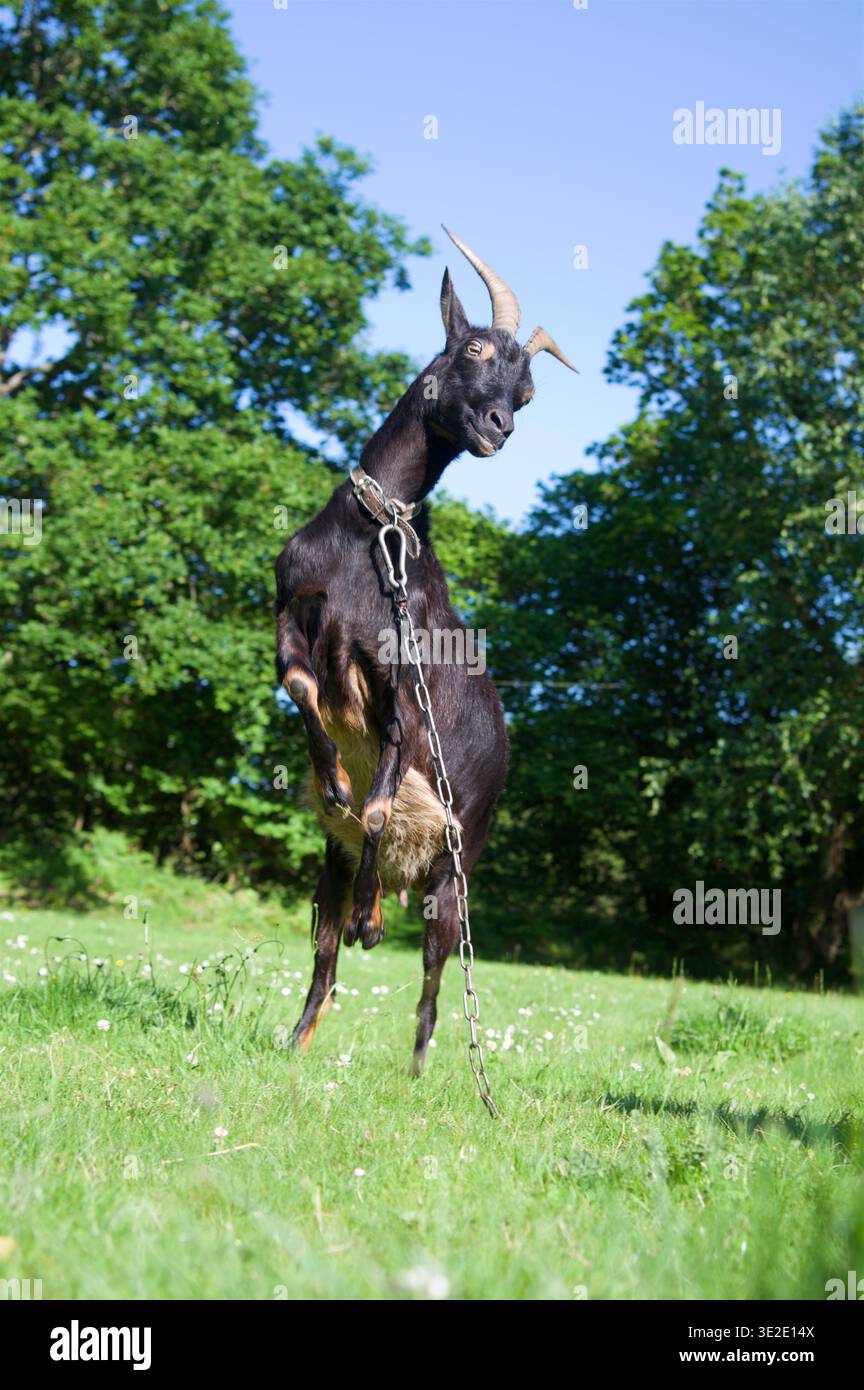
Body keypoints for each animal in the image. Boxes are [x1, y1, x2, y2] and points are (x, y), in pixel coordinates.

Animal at [275, 227, 575, 1074]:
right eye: (473, 347)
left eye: (530, 392)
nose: (500, 425)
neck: (368, 539)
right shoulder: (289, 616)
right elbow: (303, 693)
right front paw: (330, 779)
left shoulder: (401, 687)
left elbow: (381, 801)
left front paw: (373, 919)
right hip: (331, 865)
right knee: (323, 962)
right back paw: (299, 1038)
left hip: (455, 869)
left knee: (438, 984)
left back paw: (416, 1067)